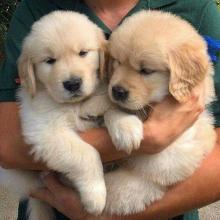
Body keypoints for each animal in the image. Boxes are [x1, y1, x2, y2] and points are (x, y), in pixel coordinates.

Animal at [0, 10, 113, 220]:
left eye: (83, 53)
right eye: (49, 61)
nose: (73, 84)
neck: (70, 105)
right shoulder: (45, 132)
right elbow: (87, 154)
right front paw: (95, 196)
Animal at [103, 10, 217, 215]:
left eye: (146, 71)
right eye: (117, 62)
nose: (117, 91)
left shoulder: (174, 155)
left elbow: (137, 178)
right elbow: (112, 109)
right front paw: (124, 128)